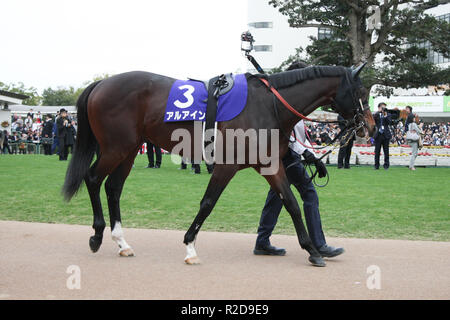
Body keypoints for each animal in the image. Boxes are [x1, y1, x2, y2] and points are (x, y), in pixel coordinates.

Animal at [61, 63, 374, 266]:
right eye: (361, 91)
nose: (368, 126)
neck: (268, 105)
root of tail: (101, 83)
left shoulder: (270, 165)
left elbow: (292, 203)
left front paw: (313, 250)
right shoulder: (226, 165)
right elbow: (208, 203)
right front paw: (189, 246)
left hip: (127, 151)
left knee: (113, 188)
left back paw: (122, 243)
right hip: (116, 148)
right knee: (93, 179)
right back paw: (97, 236)